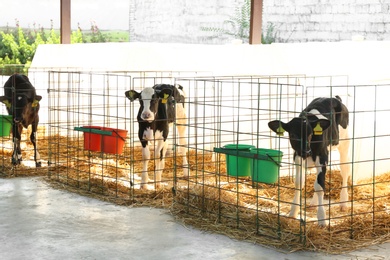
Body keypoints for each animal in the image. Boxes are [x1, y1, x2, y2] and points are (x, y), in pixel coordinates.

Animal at [268, 95, 350, 225]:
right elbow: (299, 183)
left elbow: (320, 186)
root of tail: (334, 97)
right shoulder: (297, 156)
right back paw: (313, 203)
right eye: (293, 135)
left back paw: (343, 202)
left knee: (345, 170)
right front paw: (293, 211)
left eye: (311, 134)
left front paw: (322, 219)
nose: (306, 152)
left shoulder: (322, 157)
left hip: (344, 143)